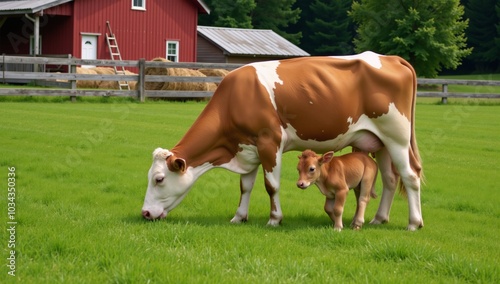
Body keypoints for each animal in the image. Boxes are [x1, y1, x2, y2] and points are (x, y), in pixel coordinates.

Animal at [143, 51, 424, 231]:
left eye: (159, 179)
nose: (145, 213)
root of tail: (390, 58)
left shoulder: (270, 142)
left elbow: (271, 186)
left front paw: (275, 219)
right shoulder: (248, 148)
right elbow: (245, 186)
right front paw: (239, 217)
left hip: (397, 136)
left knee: (411, 176)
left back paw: (414, 222)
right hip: (381, 141)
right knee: (390, 179)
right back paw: (379, 219)